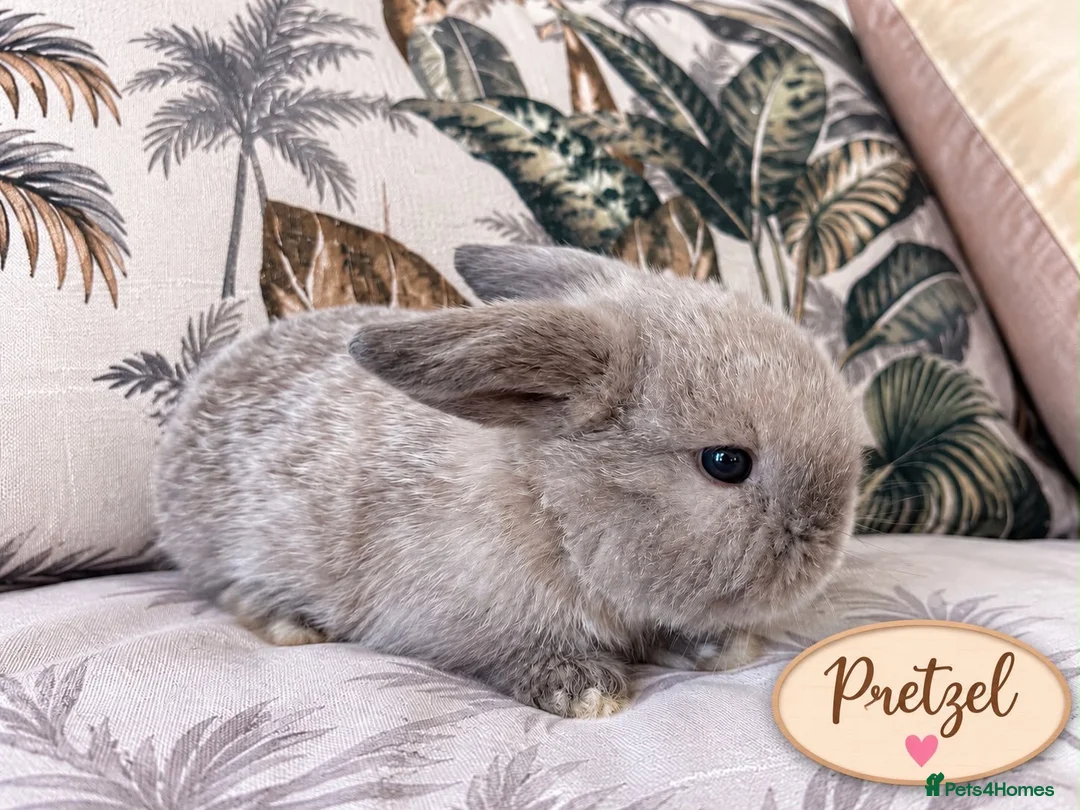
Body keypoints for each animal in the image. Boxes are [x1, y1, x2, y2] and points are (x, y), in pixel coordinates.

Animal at [153, 244, 864, 719]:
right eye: (726, 463)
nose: (823, 552)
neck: (549, 508)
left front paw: (722, 648)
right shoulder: (448, 617)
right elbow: (505, 653)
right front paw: (584, 692)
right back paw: (294, 624)